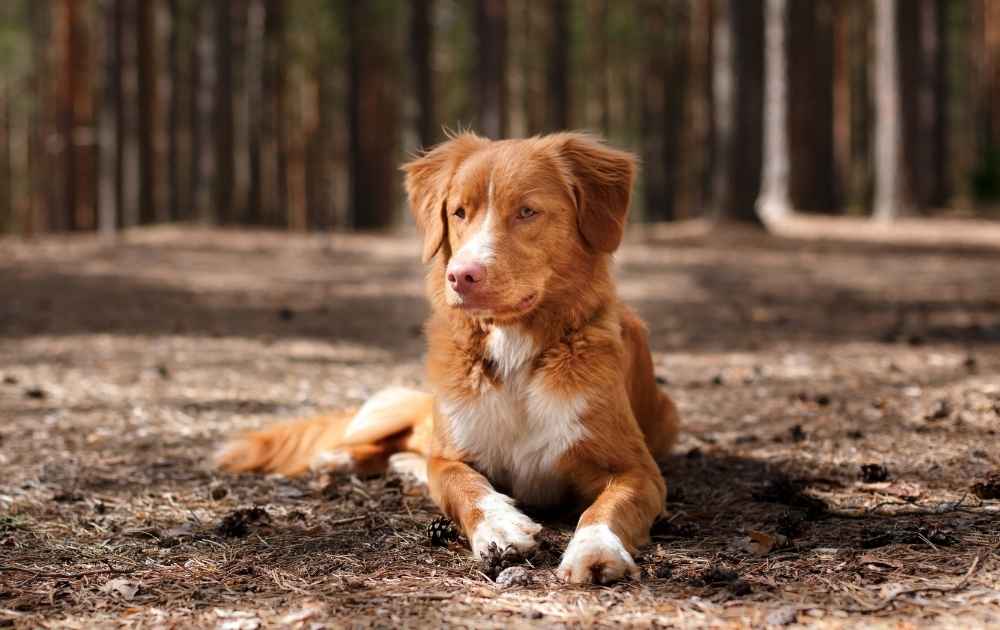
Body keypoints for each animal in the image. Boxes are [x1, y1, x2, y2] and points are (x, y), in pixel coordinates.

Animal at [218, 133, 680, 588]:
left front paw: (596, 548)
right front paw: (499, 526)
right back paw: (340, 459)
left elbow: (608, 507)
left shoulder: (637, 469)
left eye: (527, 211)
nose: (461, 275)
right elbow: (463, 484)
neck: (514, 350)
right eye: (459, 212)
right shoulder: (452, 454)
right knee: (398, 441)